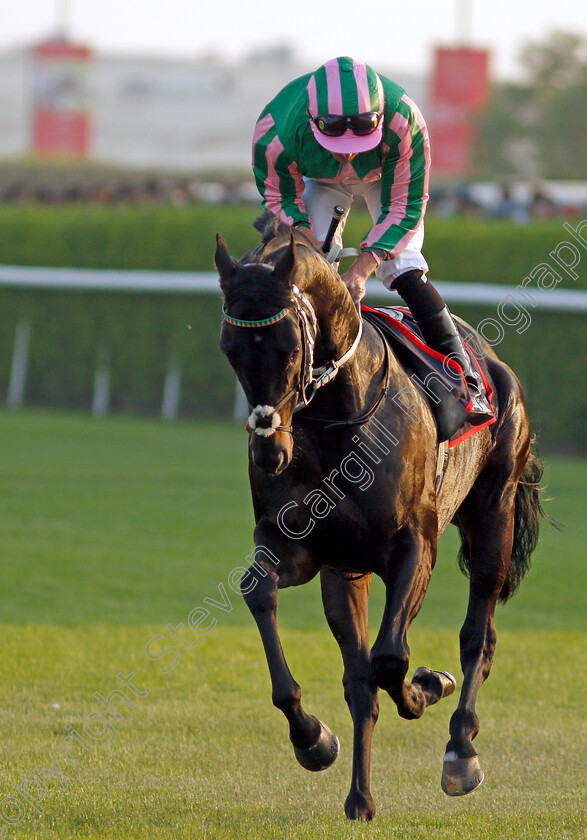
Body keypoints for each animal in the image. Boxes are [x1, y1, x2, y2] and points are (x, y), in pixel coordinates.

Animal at [216, 215, 548, 820]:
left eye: (287, 346)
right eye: (230, 348)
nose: (269, 452)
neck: (337, 418)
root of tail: (494, 362)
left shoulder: (414, 544)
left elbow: (392, 658)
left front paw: (427, 686)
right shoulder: (306, 548)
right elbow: (260, 592)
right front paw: (312, 737)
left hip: (495, 515)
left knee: (478, 635)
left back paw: (460, 748)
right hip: (346, 572)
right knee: (360, 681)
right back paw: (360, 797)